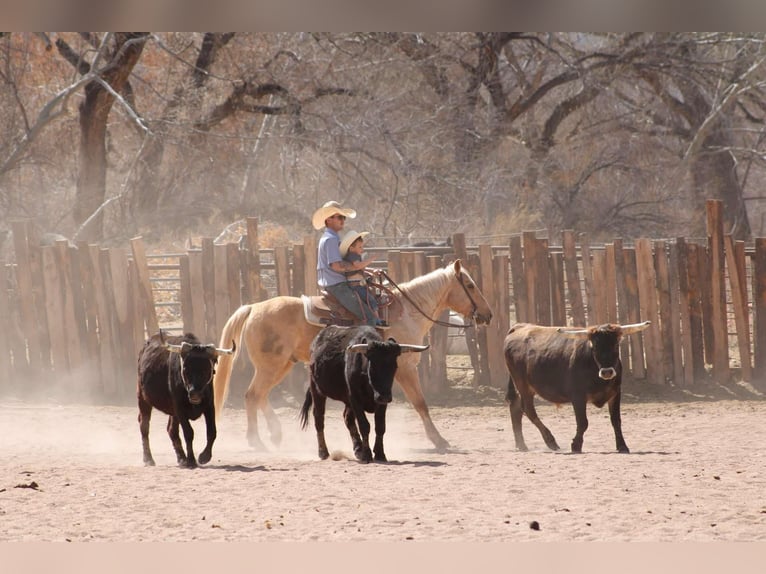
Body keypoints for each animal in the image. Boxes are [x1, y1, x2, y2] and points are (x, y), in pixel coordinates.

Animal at [212, 259, 493, 451]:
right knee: (252, 396)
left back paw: (275, 434)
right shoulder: (404, 367)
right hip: (271, 366)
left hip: (281, 365)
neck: (406, 312)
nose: (488, 314)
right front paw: (439, 440)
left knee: (259, 396)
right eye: (470, 285)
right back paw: (257, 441)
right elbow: (420, 403)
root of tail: (254, 307)